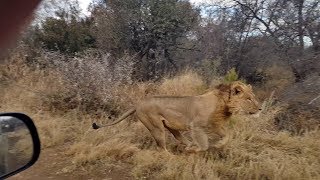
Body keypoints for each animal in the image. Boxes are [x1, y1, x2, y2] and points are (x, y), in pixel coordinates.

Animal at [92, 81, 260, 153]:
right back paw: (173, 155)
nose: (260, 108)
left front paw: (219, 145)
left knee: (180, 139)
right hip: (156, 128)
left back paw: (187, 146)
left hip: (171, 127)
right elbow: (204, 144)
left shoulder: (216, 125)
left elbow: (227, 136)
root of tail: (138, 103)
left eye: (253, 97)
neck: (224, 105)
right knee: (161, 147)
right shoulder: (196, 127)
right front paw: (197, 150)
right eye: (248, 99)